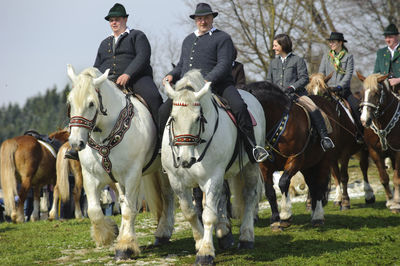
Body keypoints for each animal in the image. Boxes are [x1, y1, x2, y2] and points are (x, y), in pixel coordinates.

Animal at [66, 65, 174, 260]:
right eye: (70, 102)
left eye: (91, 104)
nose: (76, 143)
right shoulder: (91, 177)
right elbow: (94, 211)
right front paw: (109, 234)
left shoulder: (132, 175)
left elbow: (130, 209)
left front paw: (125, 246)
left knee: (167, 196)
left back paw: (162, 232)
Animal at [161, 69, 268, 264]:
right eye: (173, 118)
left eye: (198, 118)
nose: (185, 160)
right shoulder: (176, 181)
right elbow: (190, 212)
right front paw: (200, 241)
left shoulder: (212, 177)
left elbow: (208, 215)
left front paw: (205, 252)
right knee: (224, 196)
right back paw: (224, 233)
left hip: (250, 166)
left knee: (249, 196)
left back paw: (246, 237)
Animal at [248, 80, 340, 229]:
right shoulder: (264, 165)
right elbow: (269, 191)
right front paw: (275, 220)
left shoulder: (295, 159)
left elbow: (283, 182)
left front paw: (285, 216)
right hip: (308, 166)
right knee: (312, 186)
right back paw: (313, 213)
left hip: (324, 161)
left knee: (319, 186)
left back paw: (318, 217)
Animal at [306, 73, 376, 210]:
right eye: (308, 92)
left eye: (324, 94)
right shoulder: (331, 155)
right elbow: (335, 175)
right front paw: (338, 199)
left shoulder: (345, 153)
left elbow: (343, 176)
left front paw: (345, 201)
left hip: (363, 149)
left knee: (363, 167)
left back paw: (369, 194)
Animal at [356, 72, 400, 212]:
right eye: (362, 92)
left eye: (376, 93)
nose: (364, 120)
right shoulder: (374, 152)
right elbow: (384, 178)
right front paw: (390, 200)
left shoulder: (398, 151)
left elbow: (397, 178)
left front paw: (396, 203)